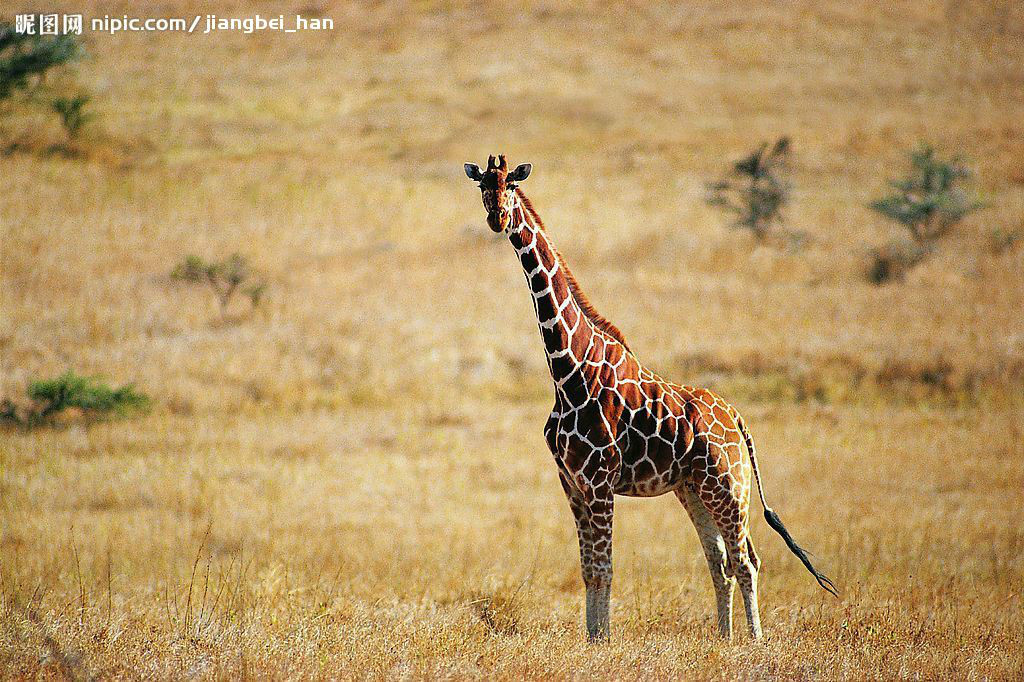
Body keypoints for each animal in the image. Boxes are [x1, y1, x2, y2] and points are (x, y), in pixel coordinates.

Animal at [468, 155, 835, 643]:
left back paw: (754, 642)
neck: (567, 370)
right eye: (483, 187)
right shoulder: (571, 483)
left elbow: (604, 568)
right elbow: (588, 569)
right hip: (693, 489)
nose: (497, 218)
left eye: (510, 184)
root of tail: (738, 418)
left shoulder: (600, 482)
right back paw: (725, 639)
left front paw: (602, 641)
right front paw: (592, 639)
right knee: (720, 563)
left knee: (747, 560)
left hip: (729, 486)